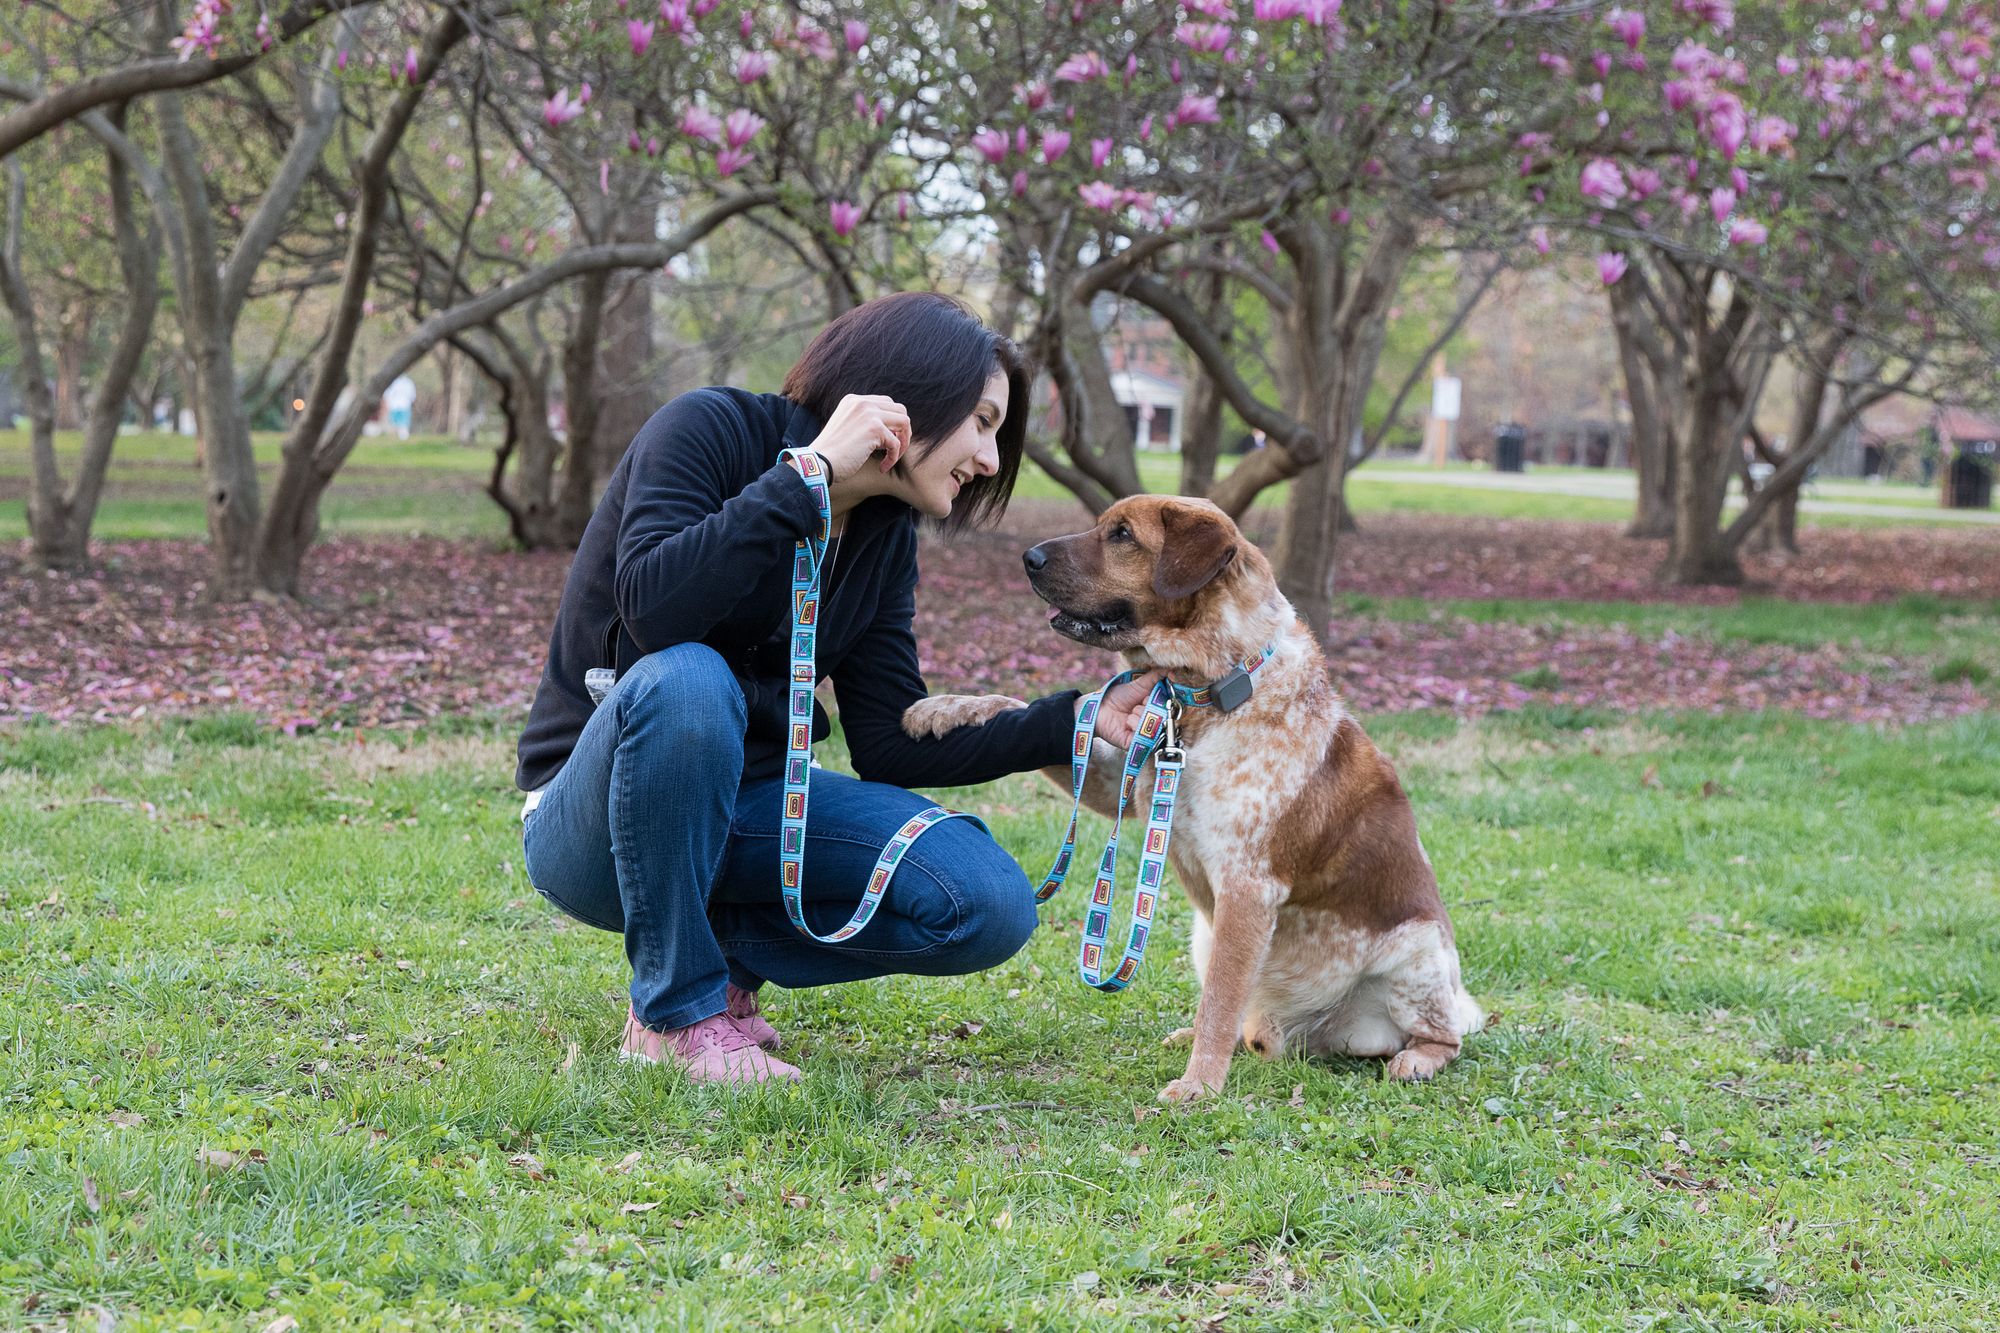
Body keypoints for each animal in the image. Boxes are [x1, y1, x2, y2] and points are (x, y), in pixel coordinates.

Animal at [908, 492, 1488, 1096]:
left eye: (1122, 534)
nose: (1028, 558)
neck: (1201, 694)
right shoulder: (1115, 779)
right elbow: (1030, 709)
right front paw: (942, 708)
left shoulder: (1246, 889)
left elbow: (1219, 1001)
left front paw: (1199, 1086)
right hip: (1205, 935)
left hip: (1416, 951)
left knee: (1444, 1034)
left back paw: (1416, 1058)